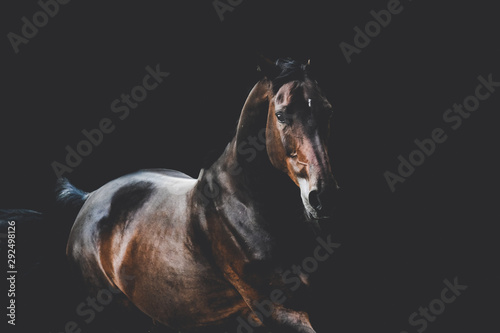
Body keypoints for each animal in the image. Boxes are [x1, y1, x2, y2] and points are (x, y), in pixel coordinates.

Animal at [62, 58, 338, 330]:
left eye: (327, 110)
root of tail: (89, 197)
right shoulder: (282, 311)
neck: (249, 203)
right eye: (281, 115)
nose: (322, 196)